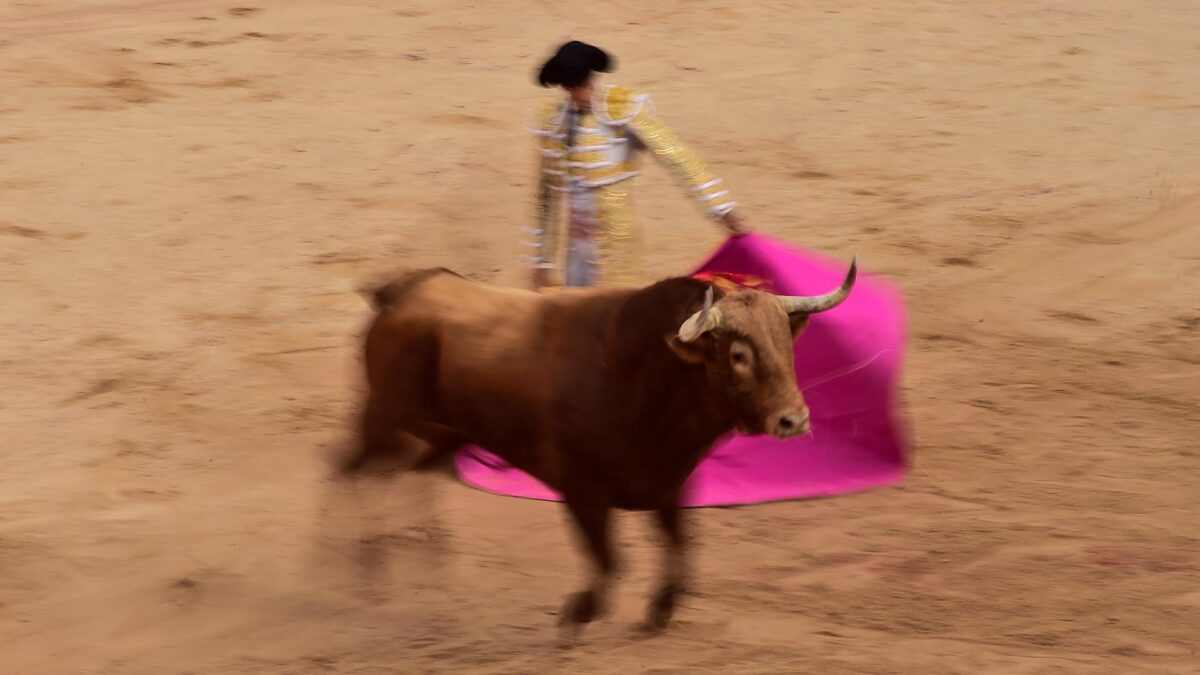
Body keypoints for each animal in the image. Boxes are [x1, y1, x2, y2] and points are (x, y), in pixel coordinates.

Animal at [343, 258, 859, 629]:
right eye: (737, 354)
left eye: (785, 344)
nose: (794, 419)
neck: (638, 378)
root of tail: (403, 292)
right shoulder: (582, 491)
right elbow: (610, 559)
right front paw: (580, 611)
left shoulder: (668, 485)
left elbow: (681, 548)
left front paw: (660, 609)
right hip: (384, 413)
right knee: (355, 469)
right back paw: (364, 568)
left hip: (430, 428)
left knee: (403, 466)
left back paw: (423, 549)